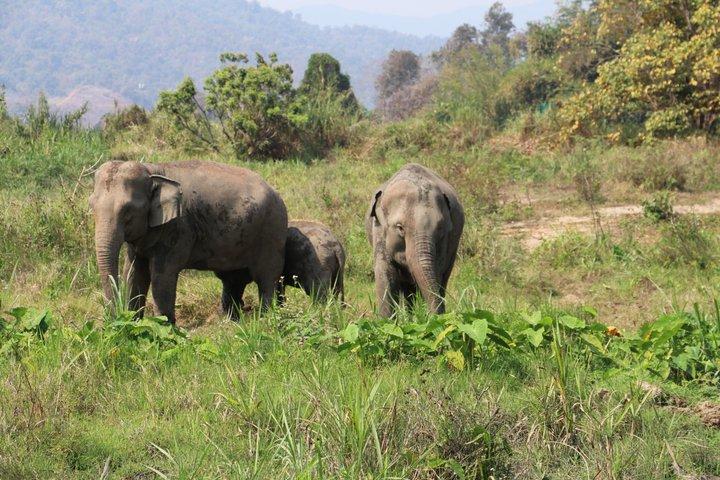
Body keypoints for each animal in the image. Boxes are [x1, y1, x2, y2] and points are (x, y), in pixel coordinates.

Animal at [89, 160, 288, 323]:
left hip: (272, 231)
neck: (153, 169)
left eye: (128, 211)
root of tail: (277, 193)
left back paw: (265, 319)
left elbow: (162, 275)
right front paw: (132, 323)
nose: (113, 319)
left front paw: (164, 328)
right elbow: (134, 272)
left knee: (266, 278)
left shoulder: (178, 228)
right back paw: (232, 321)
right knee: (233, 279)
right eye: (91, 206)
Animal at [365, 163, 464, 316]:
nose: (435, 316)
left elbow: (435, 271)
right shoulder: (379, 231)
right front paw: (385, 321)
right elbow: (385, 274)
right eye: (400, 227)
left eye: (440, 228)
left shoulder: (446, 241)